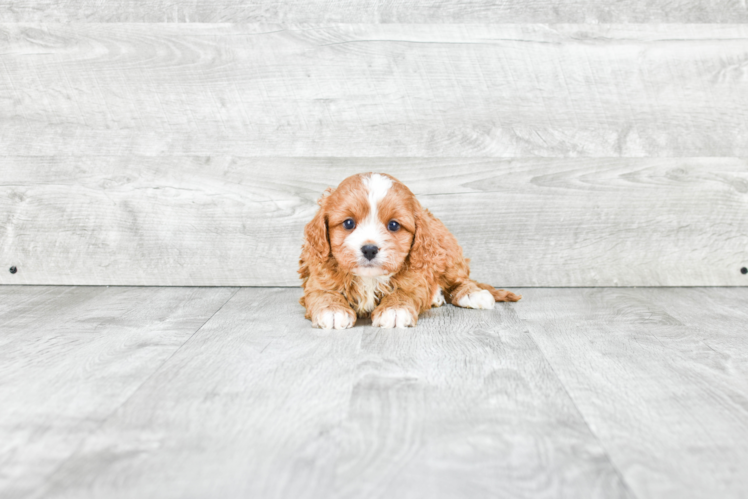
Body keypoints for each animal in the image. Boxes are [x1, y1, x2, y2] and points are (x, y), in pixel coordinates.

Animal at [298, 172, 520, 328]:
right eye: (348, 223)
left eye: (394, 225)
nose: (369, 249)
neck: (370, 278)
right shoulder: (318, 275)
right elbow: (323, 291)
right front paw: (332, 310)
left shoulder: (415, 276)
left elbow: (404, 291)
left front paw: (395, 309)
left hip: (447, 252)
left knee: (460, 280)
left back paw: (472, 294)